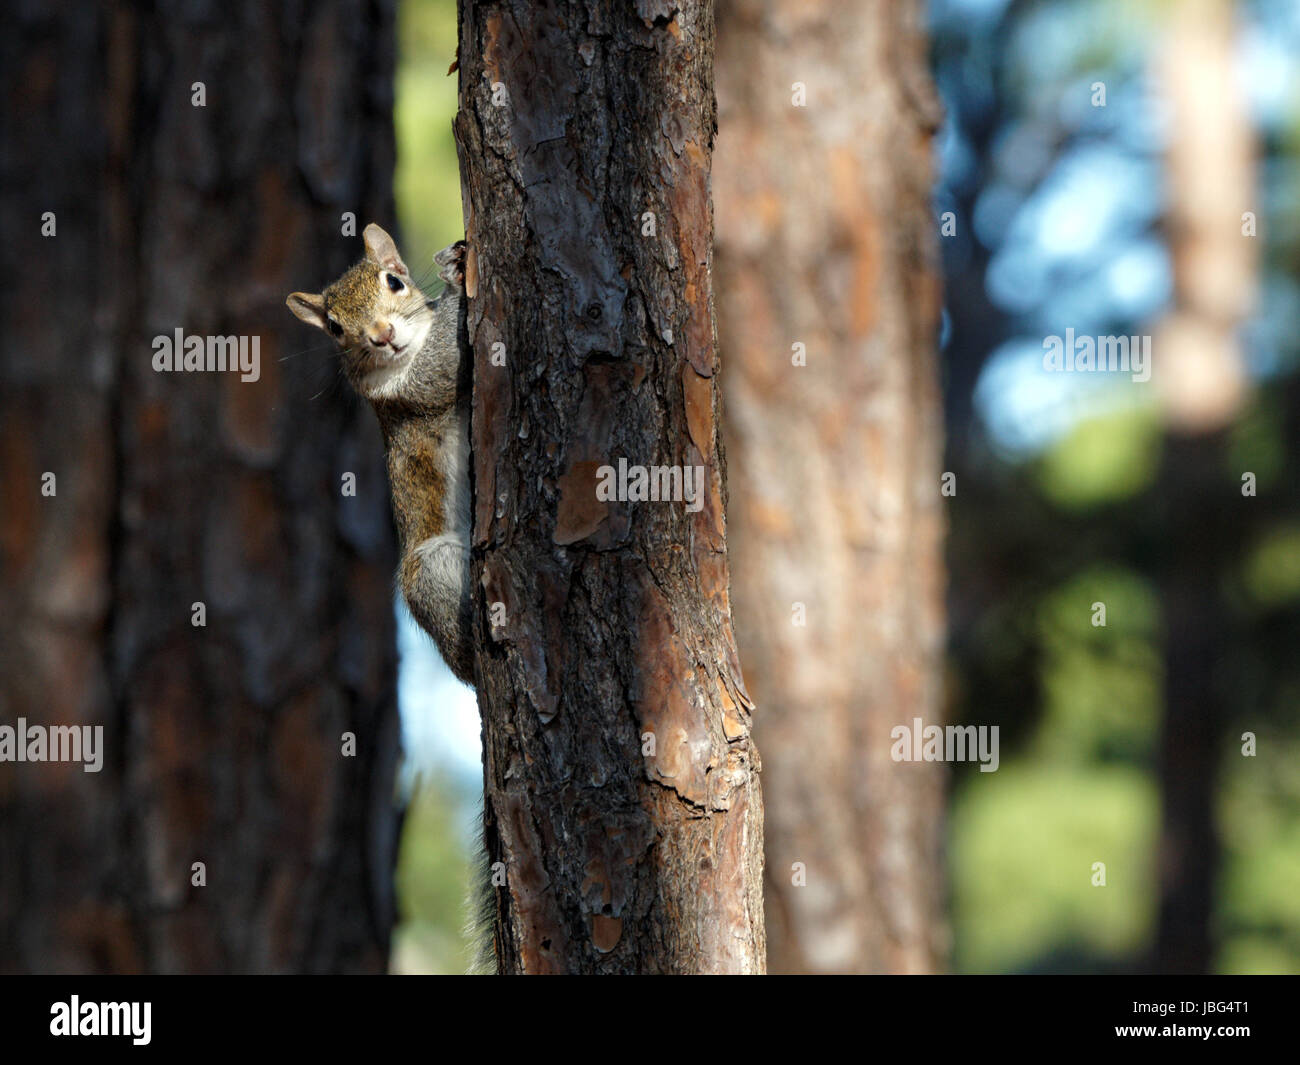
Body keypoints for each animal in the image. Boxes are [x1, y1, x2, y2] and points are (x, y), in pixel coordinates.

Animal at [287, 228, 475, 686]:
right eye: (334, 327)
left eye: (394, 281)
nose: (382, 334)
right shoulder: (410, 391)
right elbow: (448, 360)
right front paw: (454, 276)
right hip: (429, 570)